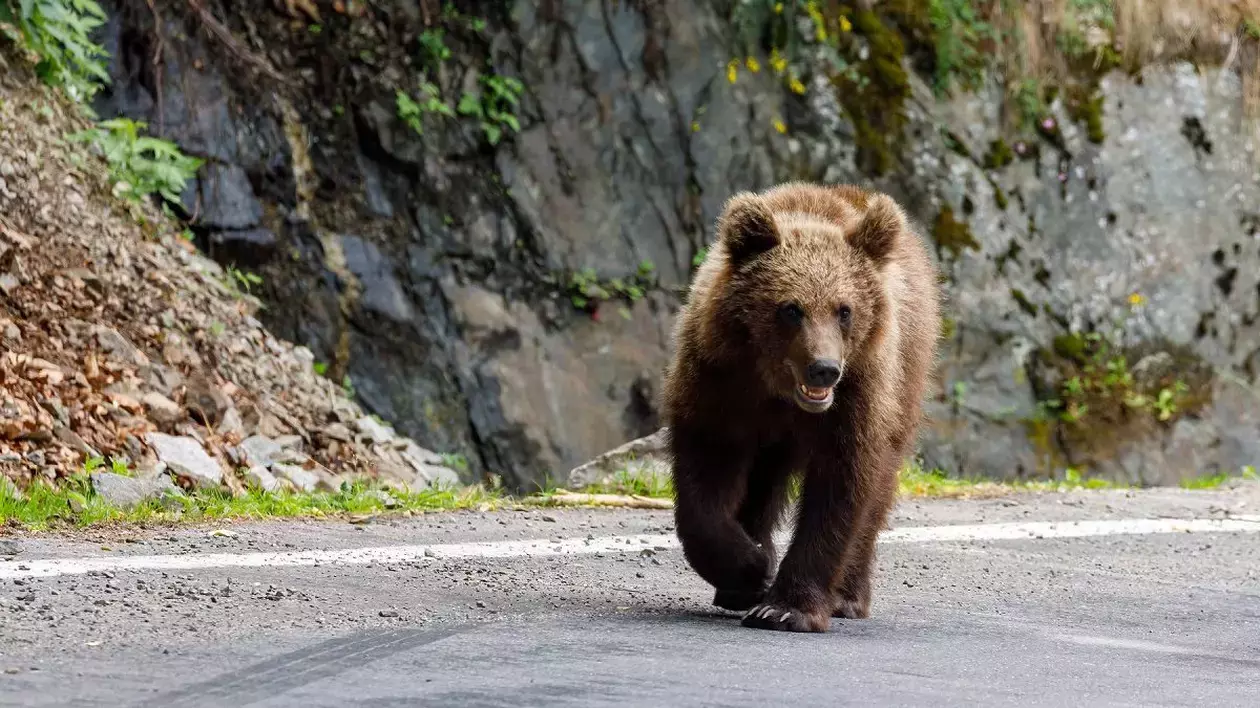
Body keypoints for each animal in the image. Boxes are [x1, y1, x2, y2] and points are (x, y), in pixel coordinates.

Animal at [665, 178, 942, 629]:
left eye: (844, 310)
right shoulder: (718, 381)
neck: (778, 389)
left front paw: (785, 607)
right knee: (762, 482)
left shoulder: (857, 397)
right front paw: (751, 567)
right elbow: (705, 479)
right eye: (791, 308)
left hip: (905, 380)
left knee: (878, 491)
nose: (824, 369)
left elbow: (841, 488)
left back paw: (848, 597)